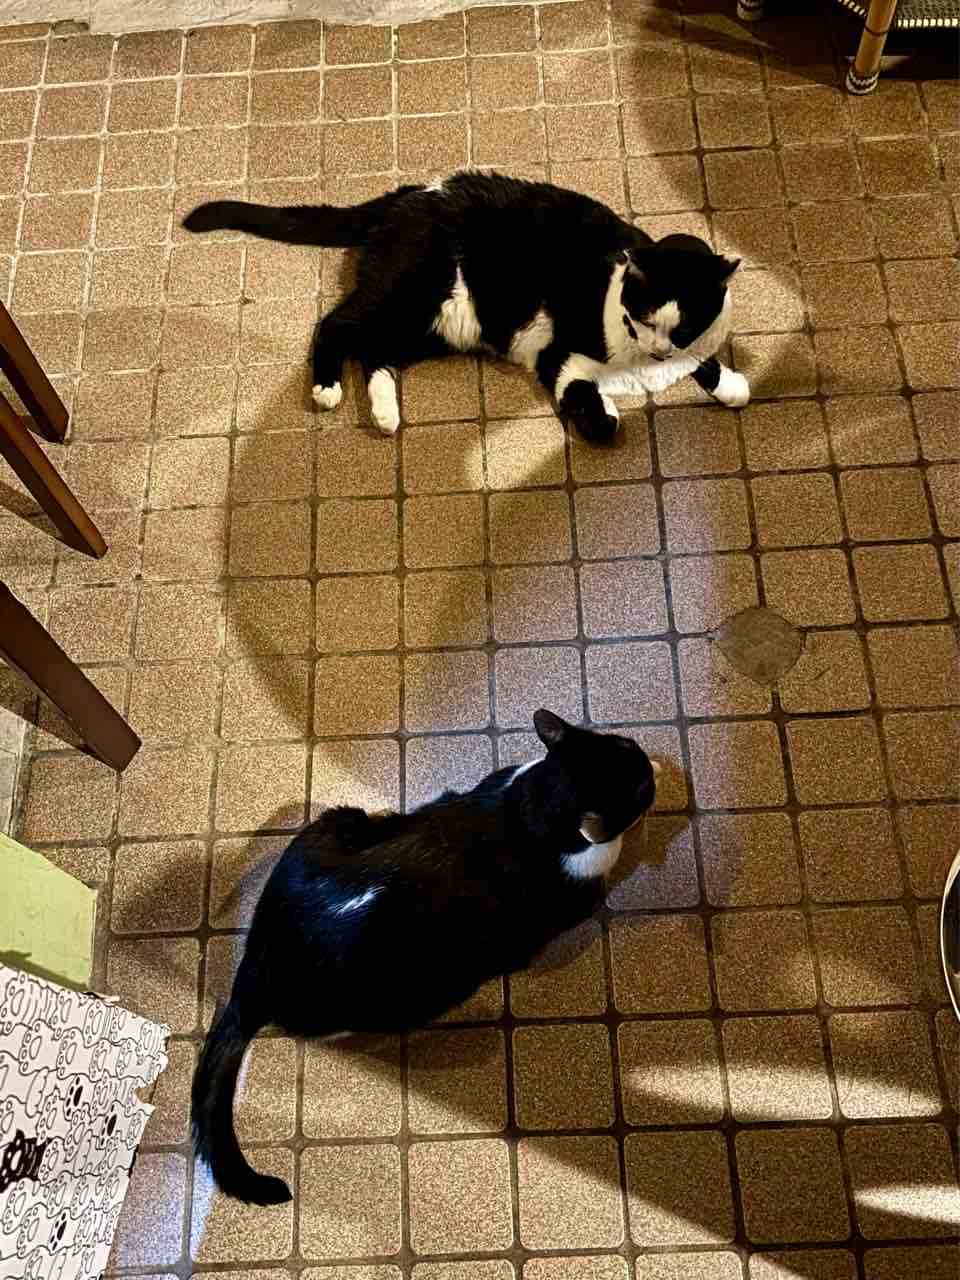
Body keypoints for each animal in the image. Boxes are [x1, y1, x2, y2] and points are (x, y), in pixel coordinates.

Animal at [183, 170, 749, 441]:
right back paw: (327, 388)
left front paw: (730, 384)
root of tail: (411, 192)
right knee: (336, 324)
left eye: (681, 327)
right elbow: (590, 404)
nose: (657, 351)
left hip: (433, 322)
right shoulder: (560, 355)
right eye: (642, 318)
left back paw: (385, 413)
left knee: (375, 349)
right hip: (412, 293)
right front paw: (605, 414)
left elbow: (702, 359)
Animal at [192, 709, 659, 1206]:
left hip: (335, 819)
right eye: (639, 788)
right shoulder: (575, 896)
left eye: (627, 745)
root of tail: (254, 975)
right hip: (422, 988)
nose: (650, 764)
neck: (530, 812)